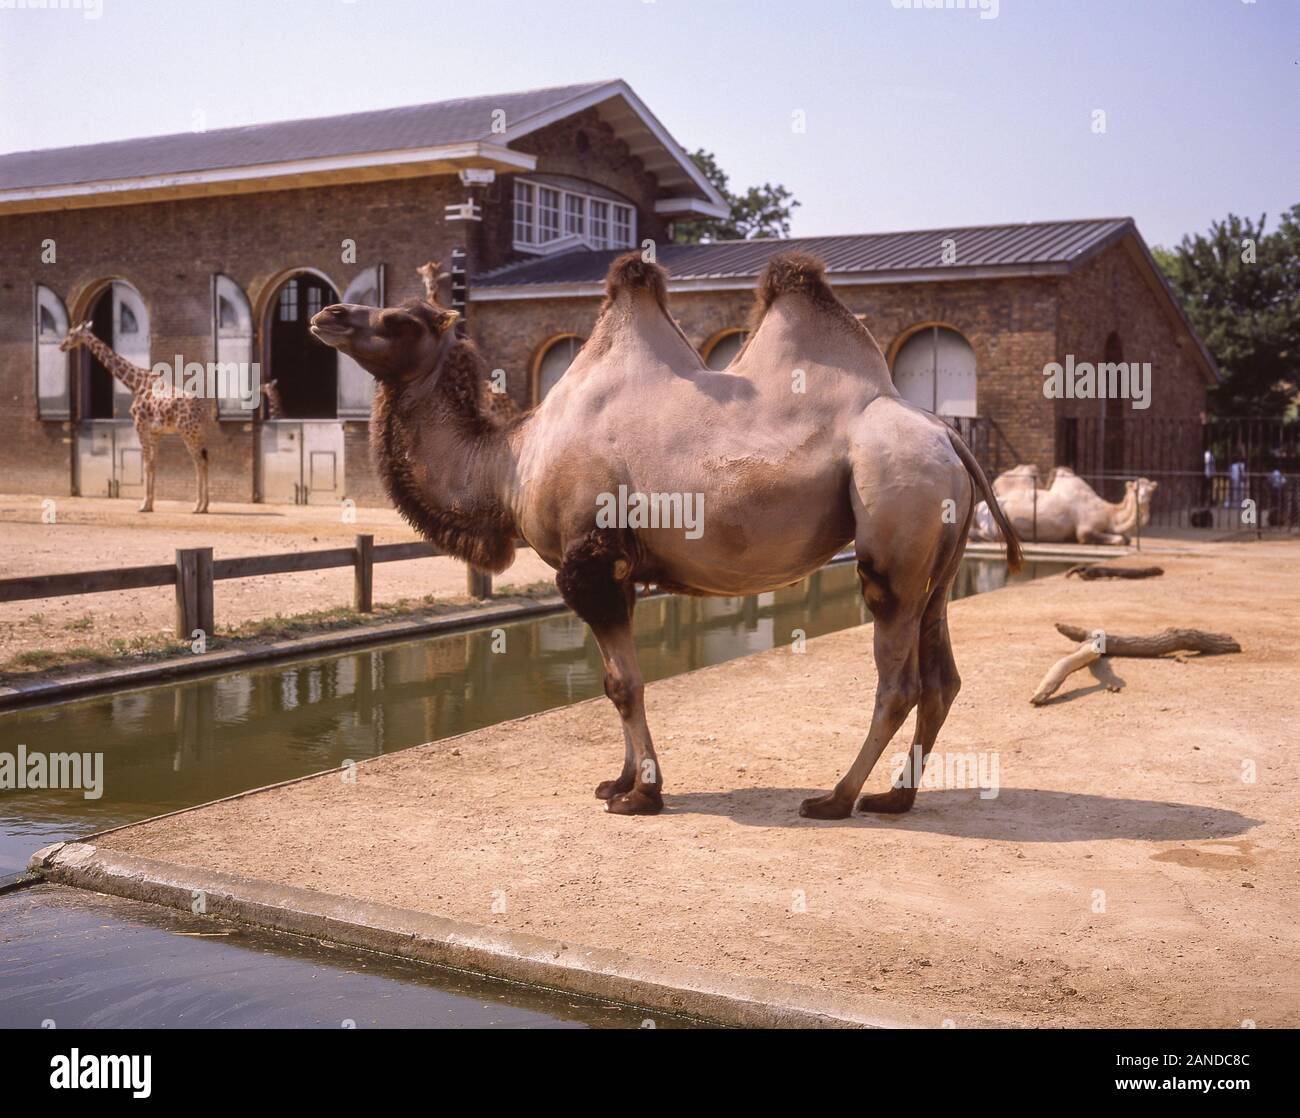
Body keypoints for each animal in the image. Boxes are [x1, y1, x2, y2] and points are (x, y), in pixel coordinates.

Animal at [59, 321, 209, 512]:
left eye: (71, 333)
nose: (62, 345)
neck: (135, 384)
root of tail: (202, 409)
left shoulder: (140, 426)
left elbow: (146, 464)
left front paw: (144, 505)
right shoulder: (155, 433)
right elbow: (152, 463)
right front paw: (150, 504)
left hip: (188, 433)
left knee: (199, 462)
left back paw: (198, 506)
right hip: (199, 433)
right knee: (205, 460)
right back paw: (205, 506)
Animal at [309, 253, 1019, 821]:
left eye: (402, 320)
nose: (327, 313)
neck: (512, 462)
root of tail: (947, 433)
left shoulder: (588, 562)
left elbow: (625, 683)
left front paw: (641, 795)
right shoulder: (614, 570)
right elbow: (612, 682)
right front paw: (618, 781)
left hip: (892, 536)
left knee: (897, 681)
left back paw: (834, 798)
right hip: (938, 561)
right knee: (942, 678)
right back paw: (894, 796)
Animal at [977, 465, 1159, 548]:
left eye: (1151, 490)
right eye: (1136, 489)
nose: (1143, 499)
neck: (1110, 514)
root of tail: (977, 508)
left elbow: (1127, 538)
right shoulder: (1085, 529)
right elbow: (1120, 539)